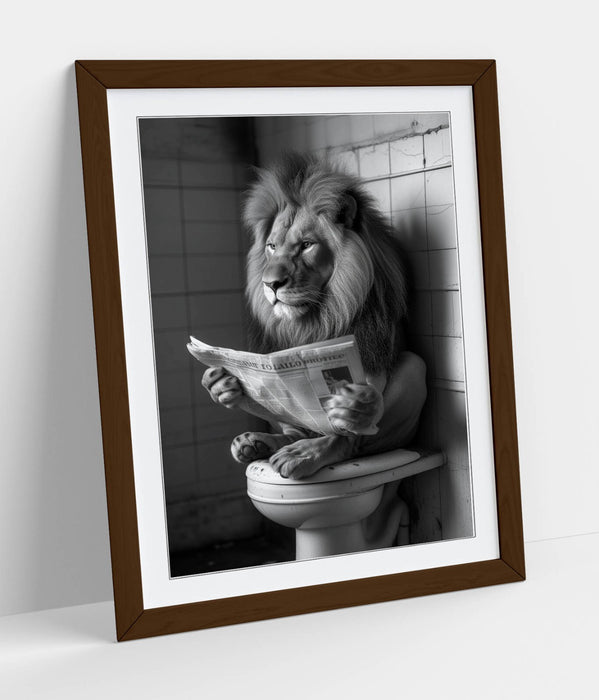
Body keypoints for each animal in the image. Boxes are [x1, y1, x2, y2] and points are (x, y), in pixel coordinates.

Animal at [201, 152, 427, 479]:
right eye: (271, 247)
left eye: (306, 245)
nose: (270, 284)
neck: (318, 316)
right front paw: (222, 383)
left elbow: (347, 422)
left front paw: (353, 410)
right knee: (296, 430)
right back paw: (255, 443)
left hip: (412, 374)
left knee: (350, 441)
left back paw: (303, 450)